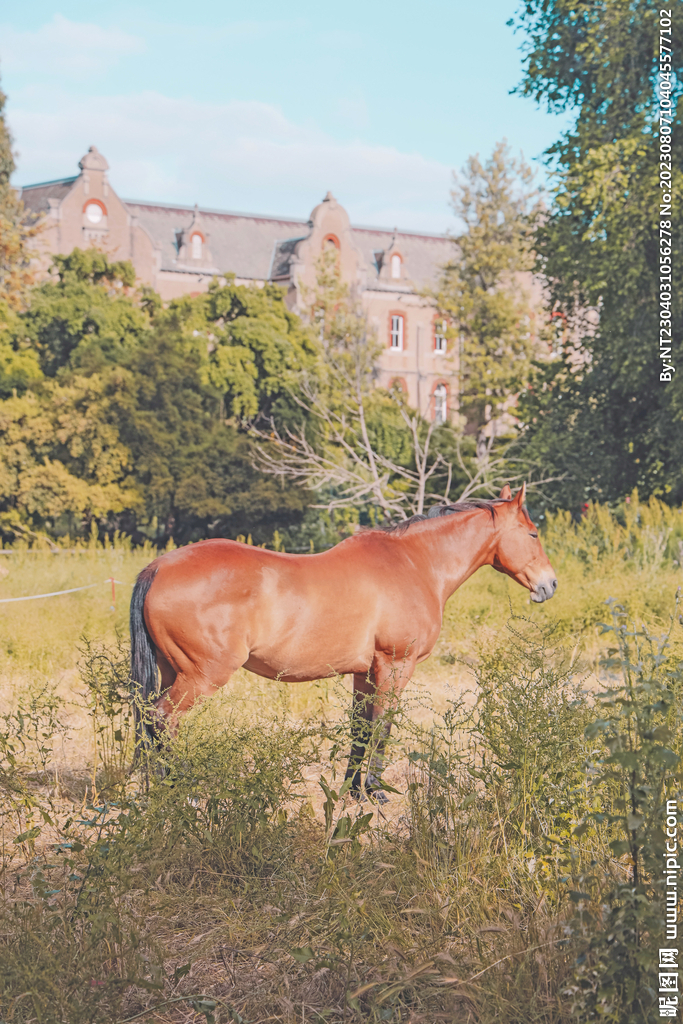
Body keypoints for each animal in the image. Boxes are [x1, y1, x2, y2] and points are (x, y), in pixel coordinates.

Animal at [129, 483, 557, 798]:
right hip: (202, 676)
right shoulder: (395, 665)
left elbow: (360, 729)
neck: (413, 563)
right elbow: (383, 726)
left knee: (152, 722)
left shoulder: (364, 673)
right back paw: (182, 789)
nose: (549, 584)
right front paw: (376, 790)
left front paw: (352, 791)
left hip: (172, 671)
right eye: (533, 533)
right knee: (163, 720)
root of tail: (158, 567)